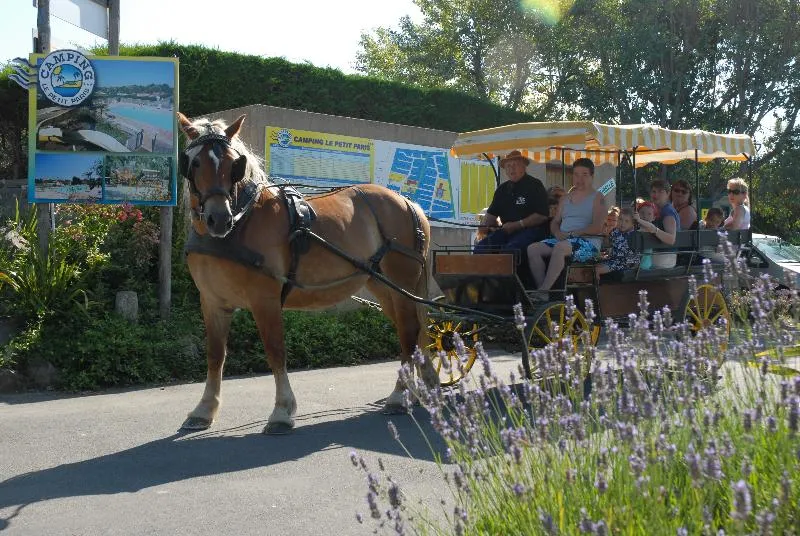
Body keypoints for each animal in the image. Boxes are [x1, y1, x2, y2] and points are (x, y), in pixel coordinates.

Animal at [176, 114, 438, 436]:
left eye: (233, 164)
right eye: (194, 163)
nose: (219, 218)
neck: (242, 221)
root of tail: (406, 201)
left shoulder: (265, 299)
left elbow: (275, 351)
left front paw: (282, 411)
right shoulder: (212, 302)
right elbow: (215, 355)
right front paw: (204, 410)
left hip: (401, 281)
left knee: (409, 333)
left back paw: (400, 396)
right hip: (384, 286)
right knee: (412, 330)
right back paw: (422, 387)